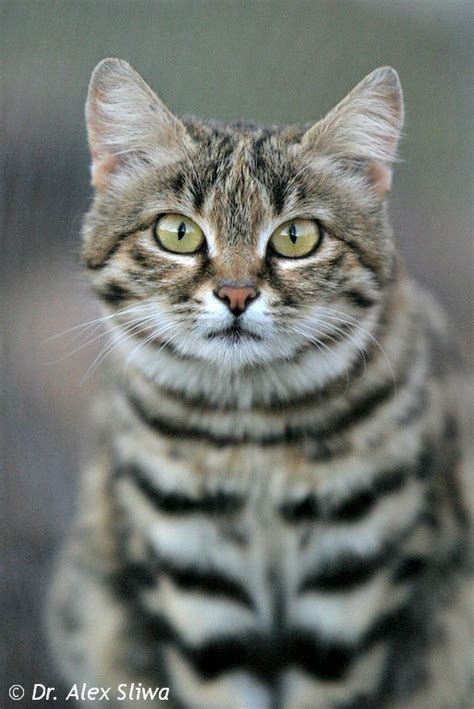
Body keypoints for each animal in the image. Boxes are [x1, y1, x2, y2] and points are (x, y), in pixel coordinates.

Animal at [50, 58, 472, 704]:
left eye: (297, 237)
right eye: (177, 232)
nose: (236, 294)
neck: (252, 431)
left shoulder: (353, 579)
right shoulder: (195, 579)